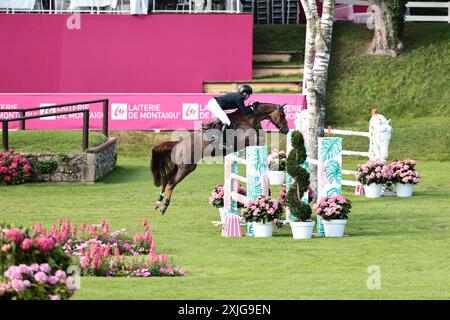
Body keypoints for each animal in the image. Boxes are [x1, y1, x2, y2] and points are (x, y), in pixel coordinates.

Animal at [151, 104, 288, 215]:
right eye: (282, 115)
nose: (286, 130)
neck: (247, 118)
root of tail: (177, 143)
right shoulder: (245, 139)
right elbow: (257, 139)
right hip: (186, 168)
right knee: (171, 183)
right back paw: (164, 206)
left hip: (178, 167)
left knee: (165, 179)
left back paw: (158, 202)